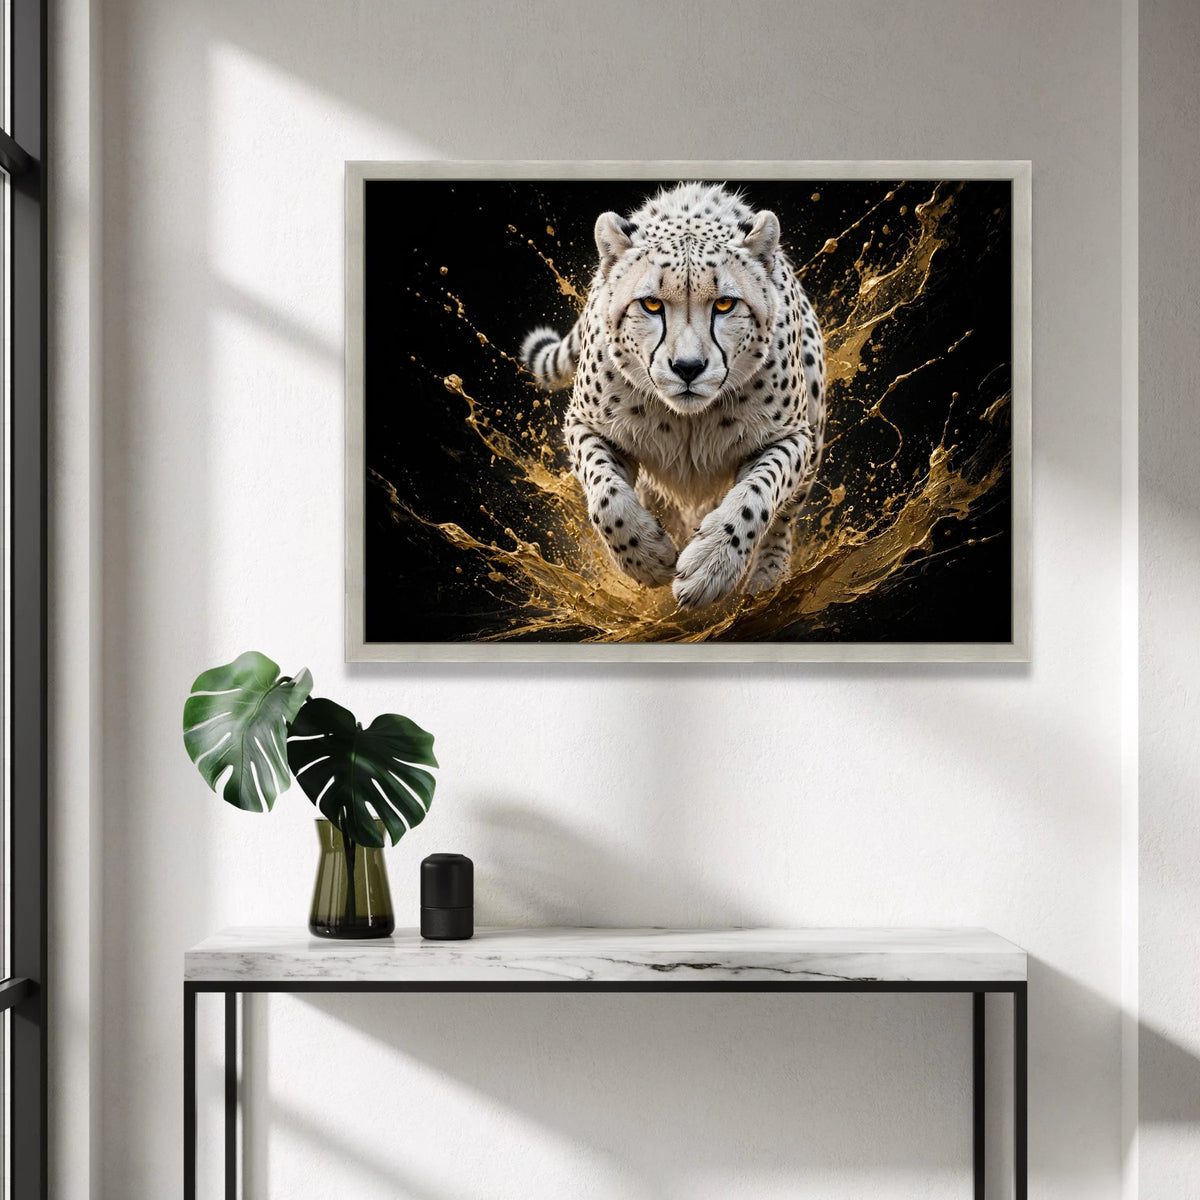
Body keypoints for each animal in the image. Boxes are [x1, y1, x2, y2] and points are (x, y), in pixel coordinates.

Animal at [521, 181, 826, 609]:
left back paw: (768, 580)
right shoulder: (585, 424)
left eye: (725, 304)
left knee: (785, 517)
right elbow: (606, 495)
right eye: (651, 304)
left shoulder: (793, 435)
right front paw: (646, 557)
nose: (687, 367)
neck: (689, 418)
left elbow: (757, 495)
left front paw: (712, 565)